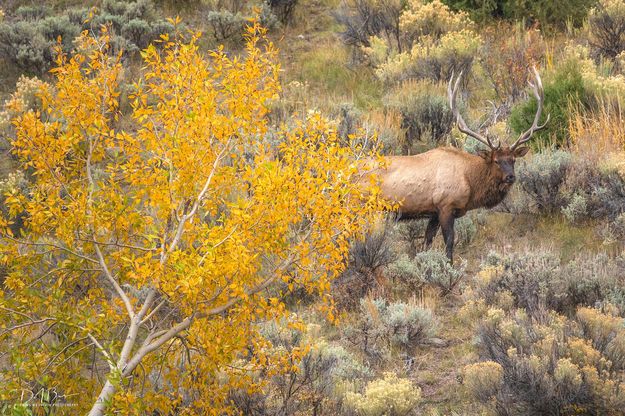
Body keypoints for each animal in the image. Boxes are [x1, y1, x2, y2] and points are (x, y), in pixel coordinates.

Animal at [376, 68, 544, 264]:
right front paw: (449, 266)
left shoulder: (433, 212)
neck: (469, 182)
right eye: (496, 160)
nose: (510, 176)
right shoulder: (445, 206)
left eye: (513, 160)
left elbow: (427, 242)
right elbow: (449, 242)